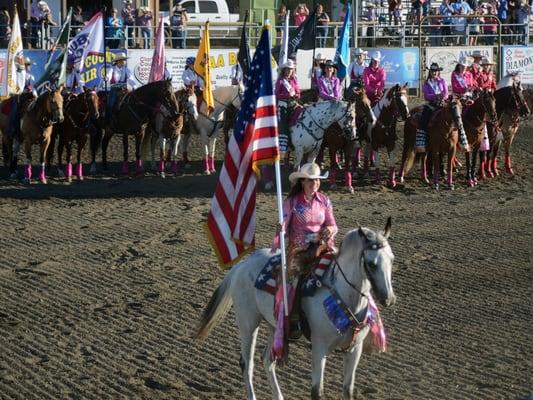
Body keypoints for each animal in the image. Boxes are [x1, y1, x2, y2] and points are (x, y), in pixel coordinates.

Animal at [195, 219, 394, 400]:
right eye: (372, 263)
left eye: (392, 259)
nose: (389, 299)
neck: (342, 295)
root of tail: (240, 266)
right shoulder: (319, 348)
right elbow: (317, 391)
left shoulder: (355, 349)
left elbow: (348, 390)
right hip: (248, 324)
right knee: (247, 364)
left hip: (275, 326)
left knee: (267, 360)